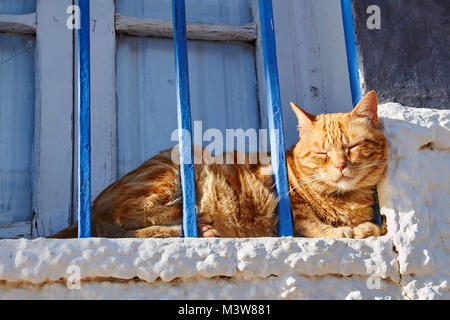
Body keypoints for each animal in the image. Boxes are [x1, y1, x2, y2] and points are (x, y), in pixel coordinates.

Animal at [49, 90, 386, 238]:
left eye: (352, 147)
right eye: (321, 153)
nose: (341, 166)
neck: (345, 199)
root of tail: (92, 205)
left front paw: (365, 227)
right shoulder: (283, 203)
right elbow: (309, 221)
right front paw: (340, 231)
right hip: (170, 172)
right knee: (129, 216)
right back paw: (196, 219)